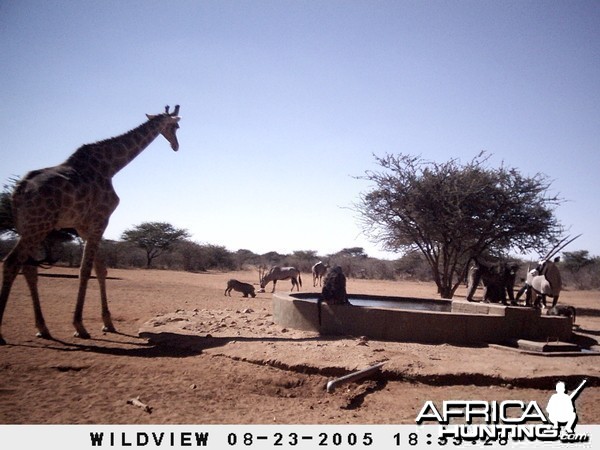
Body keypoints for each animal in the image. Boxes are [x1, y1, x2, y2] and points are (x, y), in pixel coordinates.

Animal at [0, 105, 183, 344]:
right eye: (176, 126)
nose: (176, 145)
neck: (110, 166)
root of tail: (18, 190)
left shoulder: (84, 226)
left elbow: (100, 269)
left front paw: (108, 323)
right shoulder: (100, 220)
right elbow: (86, 270)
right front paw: (80, 326)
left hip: (29, 228)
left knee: (29, 268)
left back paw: (43, 328)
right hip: (38, 226)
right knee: (11, 263)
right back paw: (2, 333)